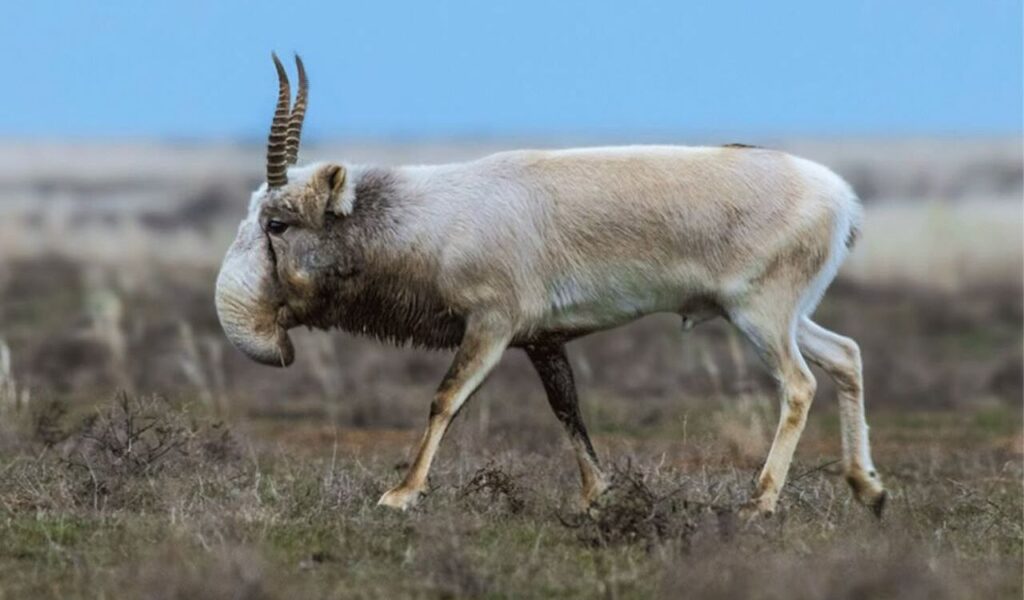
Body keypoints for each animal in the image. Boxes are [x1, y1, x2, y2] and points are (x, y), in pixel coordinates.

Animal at [215, 54, 887, 517]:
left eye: (277, 222)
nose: (271, 330)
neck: (436, 215)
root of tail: (840, 198)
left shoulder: (490, 327)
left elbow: (445, 399)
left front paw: (401, 494)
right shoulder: (542, 341)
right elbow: (567, 409)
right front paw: (596, 496)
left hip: (759, 318)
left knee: (799, 384)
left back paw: (759, 502)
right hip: (780, 317)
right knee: (846, 355)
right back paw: (868, 491)